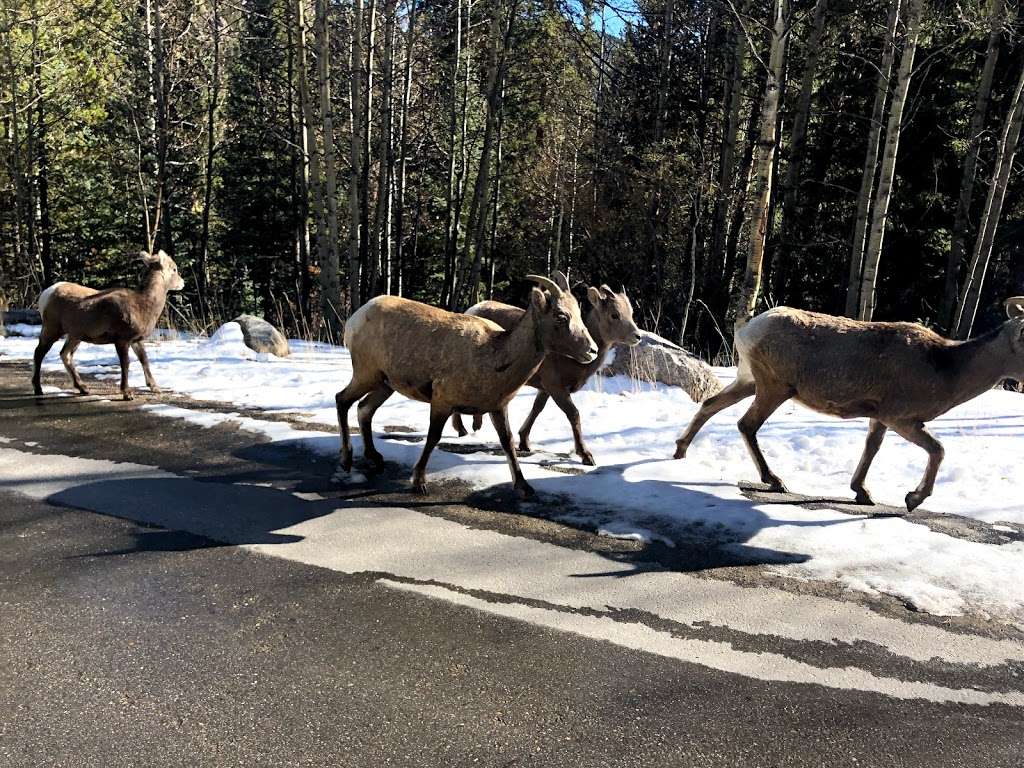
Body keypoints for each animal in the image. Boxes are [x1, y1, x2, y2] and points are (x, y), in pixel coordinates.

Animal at [29, 250, 186, 403]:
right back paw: (38, 389)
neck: (144, 305)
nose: (182, 283)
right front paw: (127, 394)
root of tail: (45, 295)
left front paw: (155, 388)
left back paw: (83, 388)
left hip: (75, 335)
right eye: (174, 269)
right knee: (39, 353)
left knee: (65, 354)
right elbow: (126, 363)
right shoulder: (122, 340)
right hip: (52, 328)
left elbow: (144, 359)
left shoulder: (136, 340)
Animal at [335, 276, 598, 499]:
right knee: (342, 399)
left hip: (385, 384)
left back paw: (375, 458)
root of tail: (354, 320)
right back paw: (346, 461)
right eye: (561, 316)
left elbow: (508, 442)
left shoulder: (498, 407)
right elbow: (433, 438)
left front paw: (524, 487)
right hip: (366, 374)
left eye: (578, 312)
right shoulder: (442, 401)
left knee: (364, 409)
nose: (592, 350)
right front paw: (419, 483)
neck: (492, 358)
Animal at [450, 280, 638, 466]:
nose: (638, 336)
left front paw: (525, 443)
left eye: (631, 313)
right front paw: (586, 456)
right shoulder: (555, 387)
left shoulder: (545, 389)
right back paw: (462, 430)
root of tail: (473, 309)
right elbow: (573, 414)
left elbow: (537, 408)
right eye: (614, 315)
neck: (570, 361)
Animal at [671, 301, 1024, 512]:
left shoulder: (879, 418)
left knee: (711, 404)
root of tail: (748, 329)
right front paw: (912, 499)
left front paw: (863, 493)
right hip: (774, 388)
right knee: (747, 424)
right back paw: (776, 481)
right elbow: (938, 449)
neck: (945, 367)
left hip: (748, 382)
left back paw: (680, 452)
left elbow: (872, 448)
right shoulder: (901, 419)